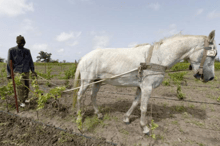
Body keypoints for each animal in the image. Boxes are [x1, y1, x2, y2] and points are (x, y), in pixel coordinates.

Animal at [73, 30, 217, 134]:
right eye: (214, 55)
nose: (210, 78)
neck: (158, 57)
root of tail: (84, 57)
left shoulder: (141, 86)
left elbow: (135, 102)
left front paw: (126, 118)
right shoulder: (147, 87)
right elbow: (144, 107)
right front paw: (144, 127)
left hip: (97, 81)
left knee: (93, 96)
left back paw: (99, 114)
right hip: (86, 81)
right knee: (79, 95)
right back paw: (79, 117)